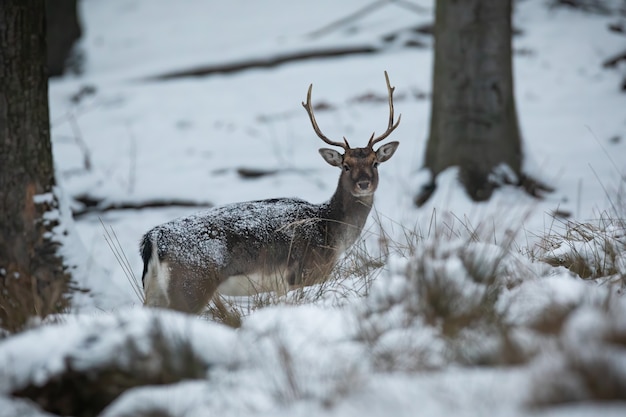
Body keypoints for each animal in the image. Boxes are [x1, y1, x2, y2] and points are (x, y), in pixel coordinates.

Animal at [141, 71, 400, 312]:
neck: (331, 233)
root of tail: (153, 239)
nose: (364, 184)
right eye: (346, 165)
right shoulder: (305, 274)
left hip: (155, 291)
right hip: (191, 285)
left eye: (375, 162)